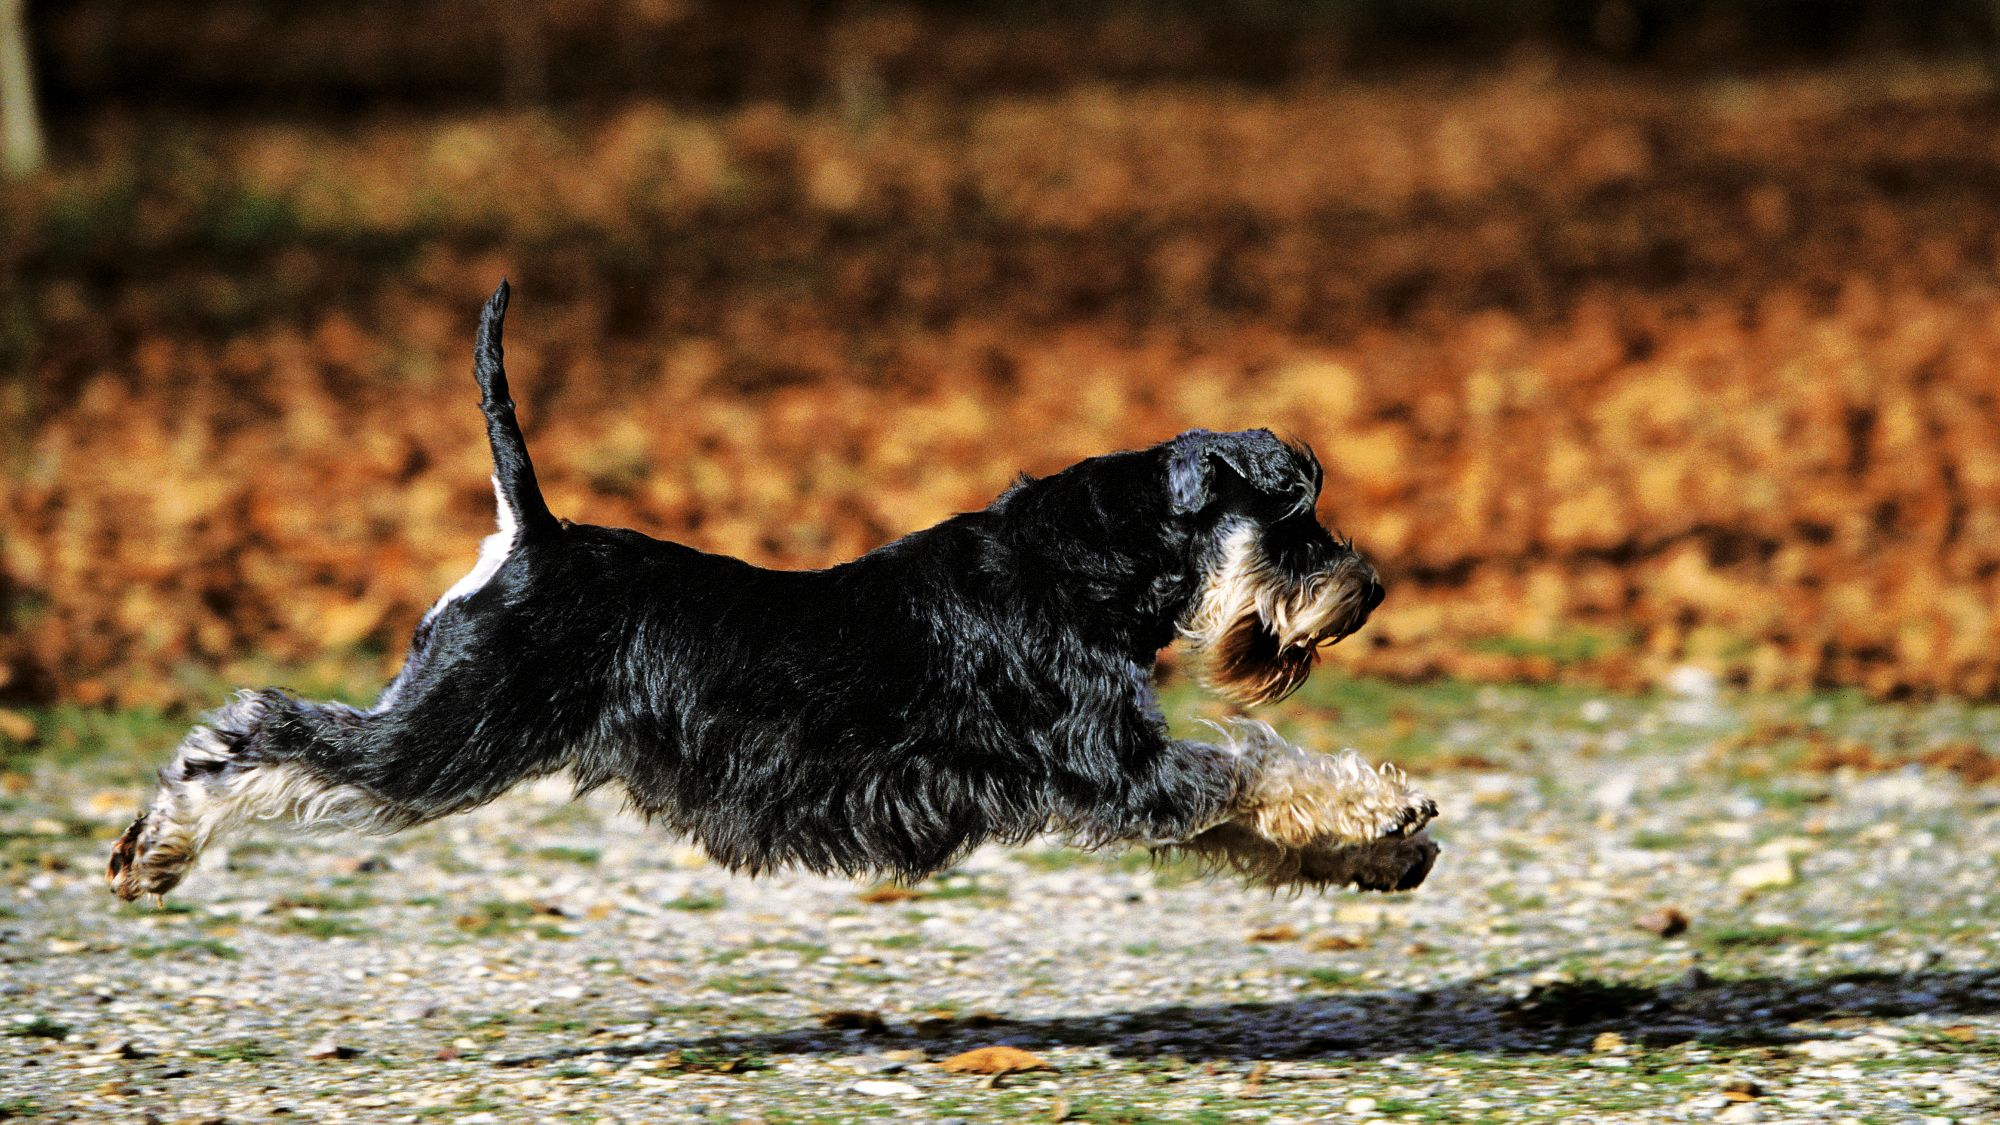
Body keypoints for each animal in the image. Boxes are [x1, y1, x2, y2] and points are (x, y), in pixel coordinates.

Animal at [109, 280, 1432, 900]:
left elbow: (1255, 818)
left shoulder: (1131, 787)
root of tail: (530, 538)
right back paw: (155, 849)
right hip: (447, 742)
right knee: (255, 731)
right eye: (1295, 521)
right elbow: (1255, 768)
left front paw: (1383, 857)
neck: (1085, 568)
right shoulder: (1121, 769)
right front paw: (1386, 807)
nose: (1367, 587)